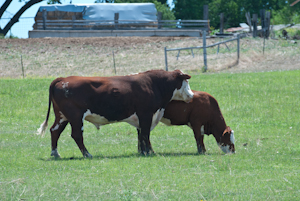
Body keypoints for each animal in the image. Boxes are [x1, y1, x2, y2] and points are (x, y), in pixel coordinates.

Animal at [37, 70, 195, 158]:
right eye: (185, 81)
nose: (192, 95)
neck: (154, 84)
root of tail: (63, 79)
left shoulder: (141, 118)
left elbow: (141, 135)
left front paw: (142, 151)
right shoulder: (146, 114)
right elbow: (145, 134)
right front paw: (149, 152)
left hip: (62, 116)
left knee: (54, 131)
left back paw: (55, 153)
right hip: (75, 117)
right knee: (76, 135)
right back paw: (87, 154)